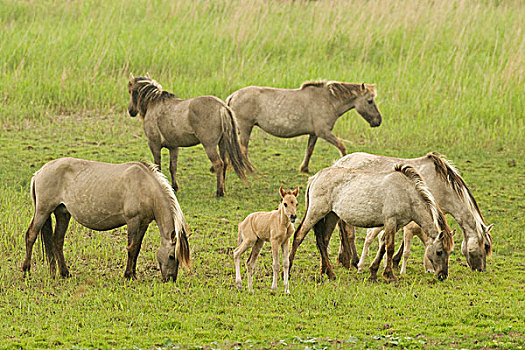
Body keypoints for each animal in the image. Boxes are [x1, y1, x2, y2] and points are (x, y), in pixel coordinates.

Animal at [22, 158, 191, 282]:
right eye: (172, 256)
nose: (171, 279)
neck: (145, 186)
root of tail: (39, 173)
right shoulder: (133, 221)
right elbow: (131, 248)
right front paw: (128, 275)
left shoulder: (143, 223)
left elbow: (137, 248)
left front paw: (133, 274)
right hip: (43, 211)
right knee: (31, 235)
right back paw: (26, 271)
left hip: (62, 213)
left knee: (57, 241)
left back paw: (64, 273)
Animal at [225, 79, 380, 172]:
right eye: (370, 101)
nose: (378, 121)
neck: (329, 101)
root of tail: (232, 96)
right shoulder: (324, 132)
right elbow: (342, 146)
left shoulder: (314, 134)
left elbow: (309, 150)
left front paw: (304, 168)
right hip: (245, 128)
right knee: (243, 148)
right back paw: (248, 168)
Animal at [288, 164, 456, 282]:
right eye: (439, 252)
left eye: (450, 252)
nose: (443, 275)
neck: (406, 193)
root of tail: (315, 177)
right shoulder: (390, 221)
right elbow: (389, 248)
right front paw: (390, 275)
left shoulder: (394, 225)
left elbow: (383, 247)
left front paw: (374, 272)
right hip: (315, 212)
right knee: (299, 236)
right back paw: (288, 270)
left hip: (331, 216)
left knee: (323, 241)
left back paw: (328, 272)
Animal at [334, 152, 494, 272]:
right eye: (486, 246)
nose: (481, 270)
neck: (441, 185)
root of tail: (338, 162)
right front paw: (396, 262)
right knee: (348, 233)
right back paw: (354, 261)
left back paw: (344, 259)